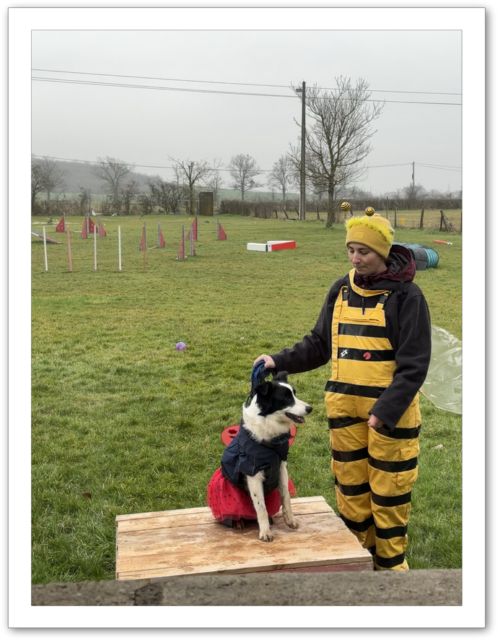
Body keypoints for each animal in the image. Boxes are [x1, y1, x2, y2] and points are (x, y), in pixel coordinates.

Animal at [207, 371, 312, 542]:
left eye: (294, 394)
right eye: (286, 398)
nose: (310, 408)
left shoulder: (281, 466)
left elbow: (286, 496)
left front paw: (289, 520)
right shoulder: (253, 473)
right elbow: (260, 506)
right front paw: (265, 532)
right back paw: (238, 522)